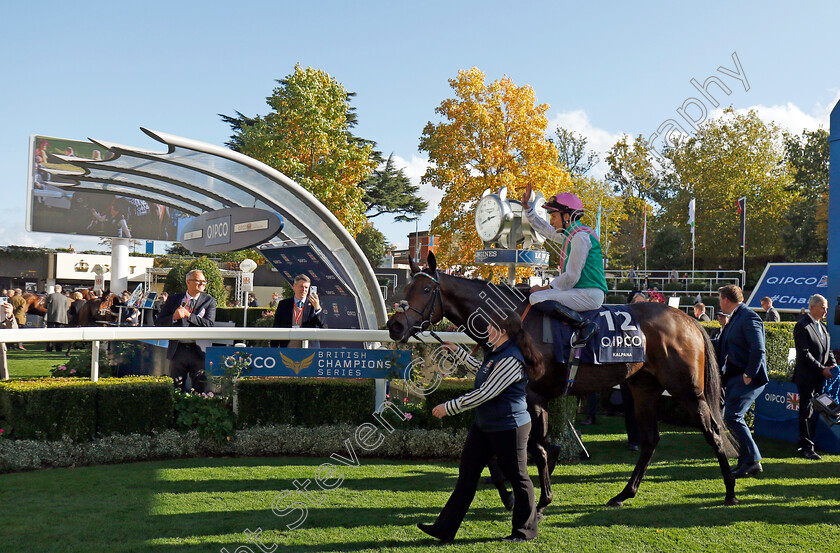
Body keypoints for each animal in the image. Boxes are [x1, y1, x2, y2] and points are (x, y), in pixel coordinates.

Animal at [384, 252, 740, 516]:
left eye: (426, 291)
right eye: (404, 291)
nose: (395, 326)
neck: (513, 322)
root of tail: (690, 320)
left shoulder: (531, 394)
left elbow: (536, 448)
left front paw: (539, 500)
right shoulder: (530, 396)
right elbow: (518, 448)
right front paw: (514, 495)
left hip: (686, 389)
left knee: (713, 432)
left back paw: (730, 491)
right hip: (643, 387)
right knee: (651, 440)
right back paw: (623, 494)